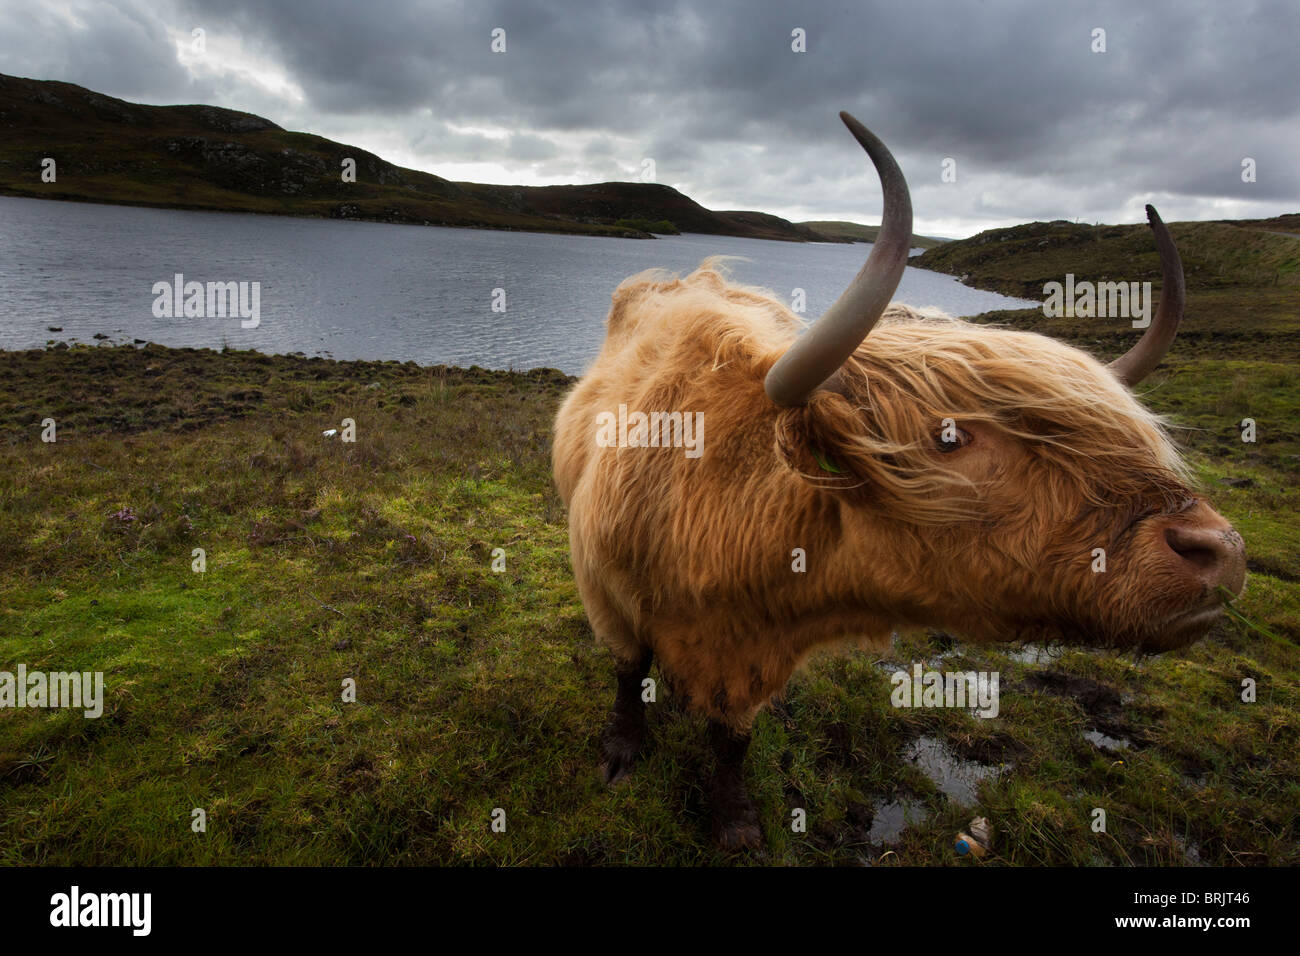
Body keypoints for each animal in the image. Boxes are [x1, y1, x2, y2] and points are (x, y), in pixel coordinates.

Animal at [551, 112, 1247, 850]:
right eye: (949, 437)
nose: (1220, 549)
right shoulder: (605, 592)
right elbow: (628, 673)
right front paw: (620, 755)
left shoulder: (756, 659)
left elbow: (732, 739)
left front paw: (736, 822)